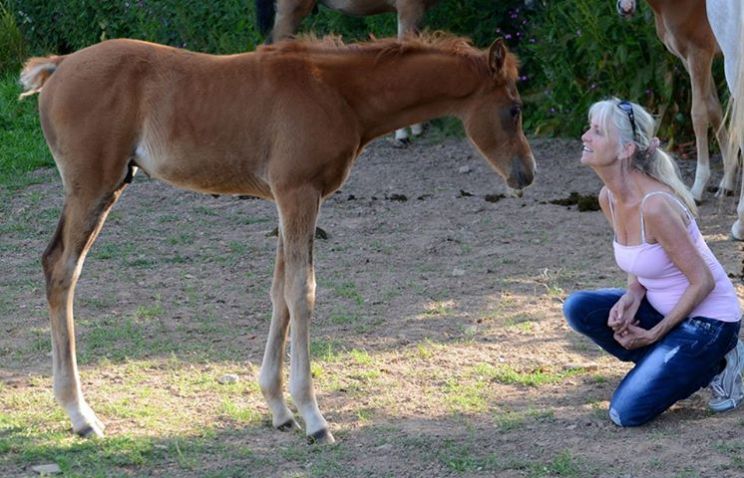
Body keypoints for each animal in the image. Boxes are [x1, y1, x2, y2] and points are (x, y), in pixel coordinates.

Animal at [21, 33, 536, 444]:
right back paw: (80, 415)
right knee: (61, 268)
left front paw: (278, 408)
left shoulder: (291, 200)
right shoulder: (298, 193)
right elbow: (302, 293)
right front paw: (314, 417)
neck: (337, 93)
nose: (527, 174)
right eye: (513, 110)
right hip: (95, 186)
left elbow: (279, 294)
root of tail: (60, 66)